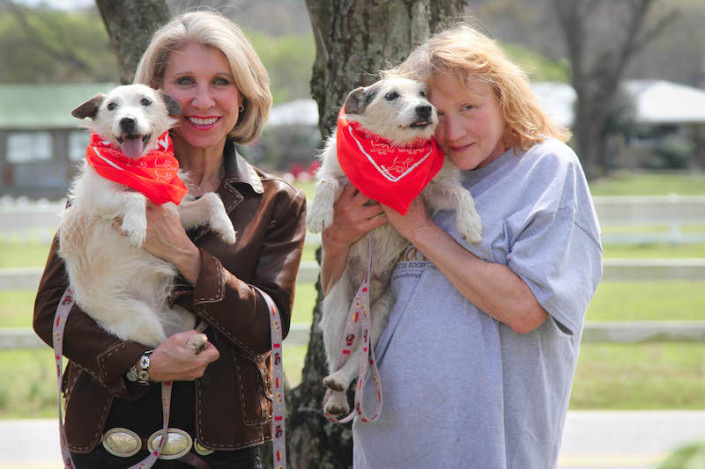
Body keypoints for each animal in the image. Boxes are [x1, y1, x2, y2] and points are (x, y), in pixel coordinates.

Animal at [60, 84, 236, 348]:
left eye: (145, 101)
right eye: (111, 106)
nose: (127, 121)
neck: (140, 166)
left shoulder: (175, 212)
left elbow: (211, 198)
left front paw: (225, 227)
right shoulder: (99, 197)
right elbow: (135, 197)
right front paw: (136, 226)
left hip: (182, 315)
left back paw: (195, 342)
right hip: (141, 318)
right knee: (159, 349)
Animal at [308, 77, 484, 416]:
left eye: (424, 94)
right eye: (391, 96)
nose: (425, 109)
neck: (392, 151)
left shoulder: (433, 193)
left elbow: (459, 193)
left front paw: (471, 225)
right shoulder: (341, 178)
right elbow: (326, 182)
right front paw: (318, 214)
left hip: (382, 314)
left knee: (359, 358)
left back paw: (341, 381)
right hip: (338, 310)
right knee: (339, 355)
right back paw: (335, 398)